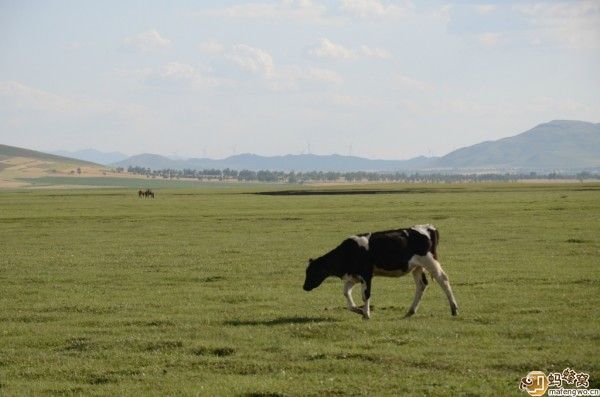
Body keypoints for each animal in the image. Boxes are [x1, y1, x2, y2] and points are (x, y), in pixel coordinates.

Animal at [302, 224, 458, 320]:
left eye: (312, 271)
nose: (304, 287)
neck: (349, 252)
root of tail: (428, 227)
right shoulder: (353, 276)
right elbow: (346, 293)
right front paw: (358, 310)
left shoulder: (366, 274)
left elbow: (365, 295)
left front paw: (366, 314)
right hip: (416, 267)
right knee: (421, 285)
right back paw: (410, 312)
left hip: (430, 262)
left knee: (443, 280)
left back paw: (454, 308)